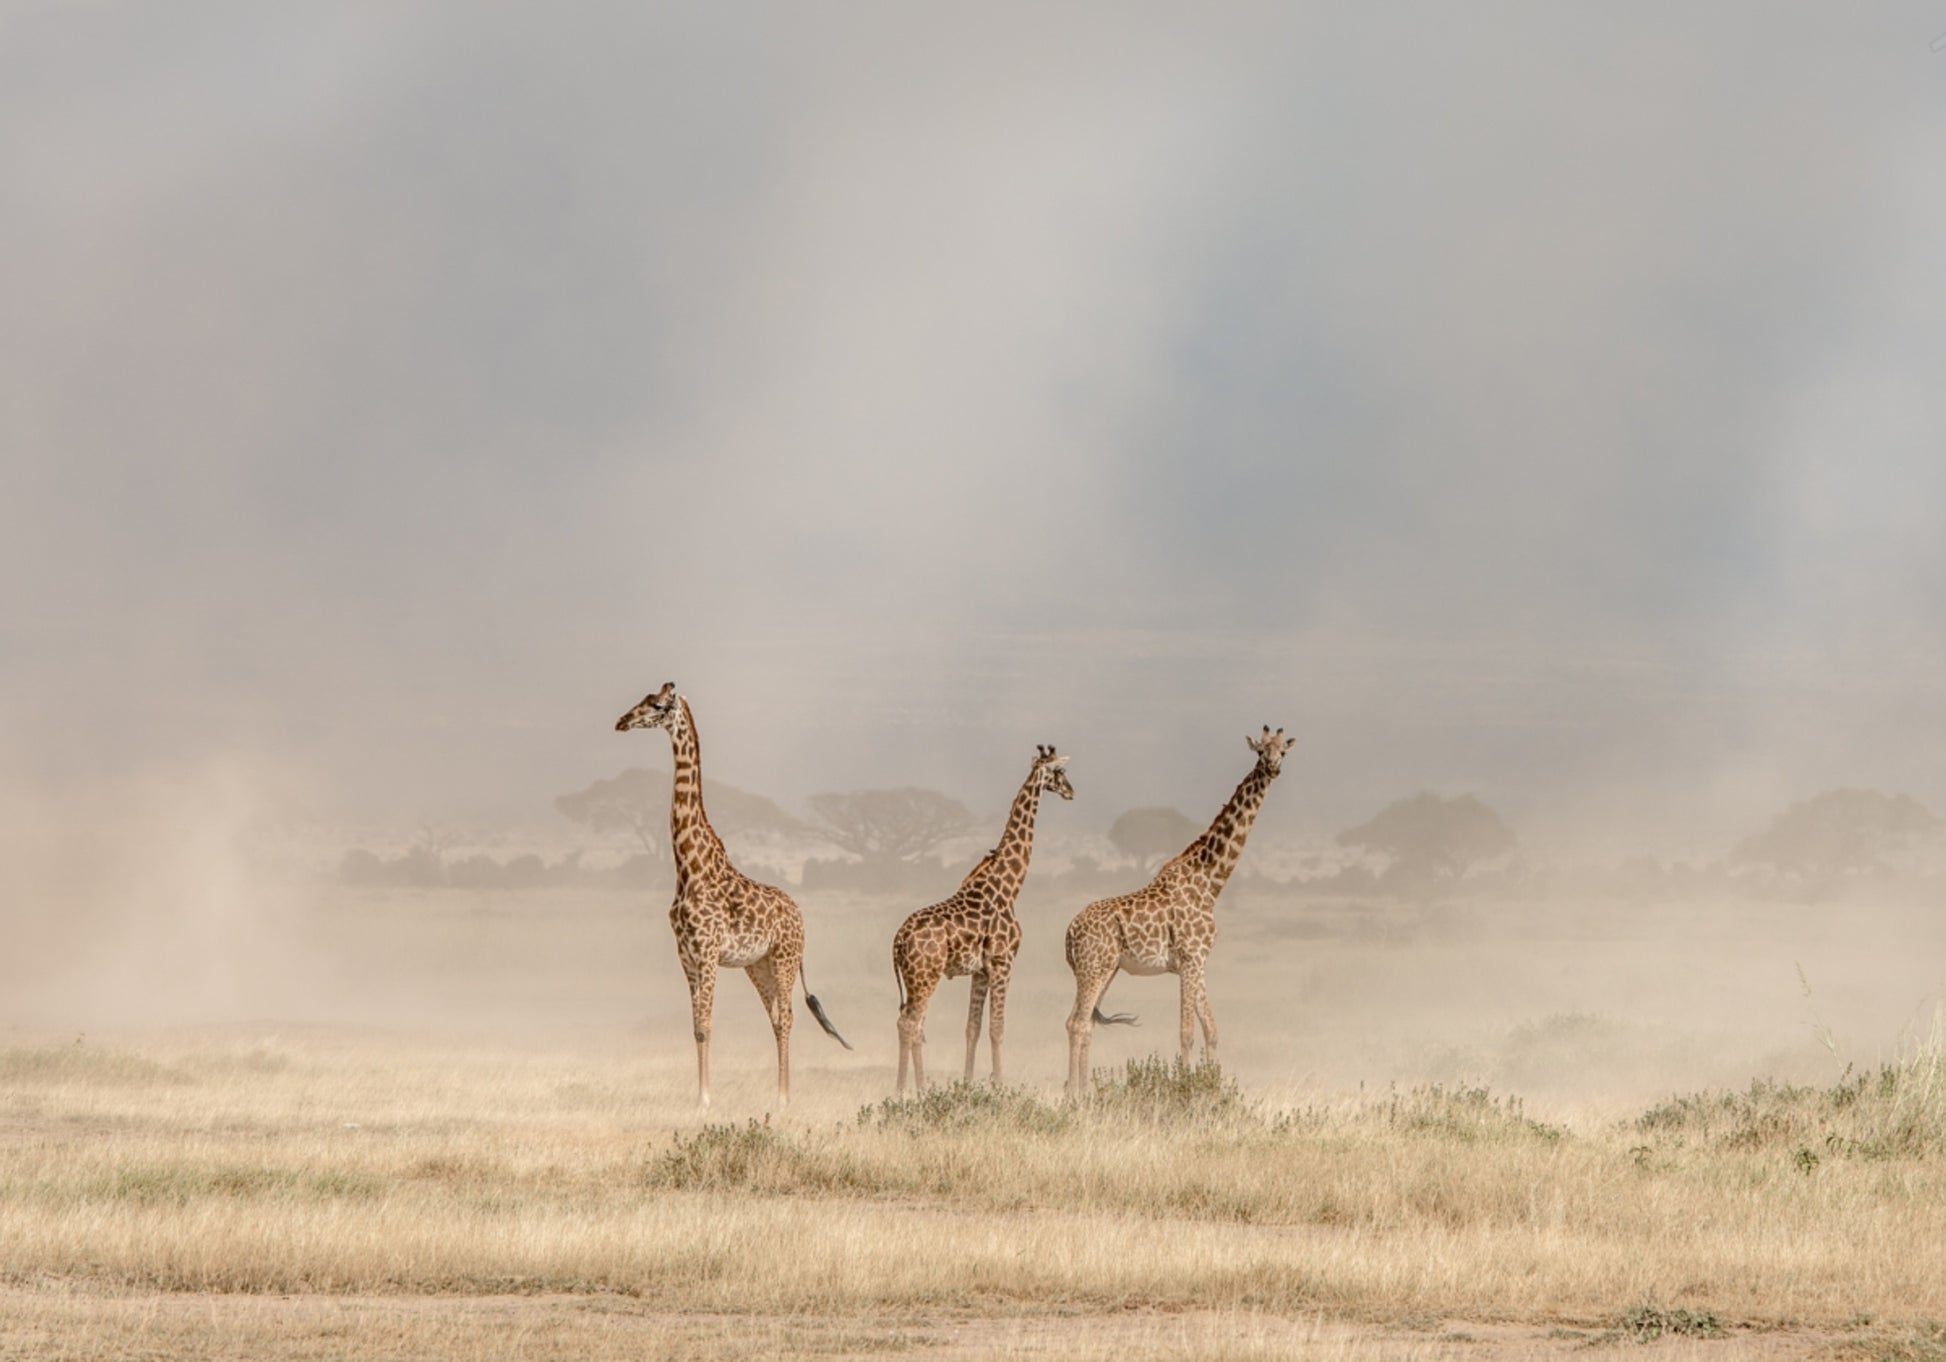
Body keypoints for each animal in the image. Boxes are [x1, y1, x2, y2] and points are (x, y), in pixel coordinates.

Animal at [615, 683, 850, 1108]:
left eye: (656, 705)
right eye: (640, 700)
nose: (621, 721)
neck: (689, 867)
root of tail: (801, 917)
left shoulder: (707, 952)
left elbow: (706, 1024)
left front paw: (705, 1101)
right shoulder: (686, 955)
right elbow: (696, 1026)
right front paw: (700, 1098)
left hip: (784, 959)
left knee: (787, 1017)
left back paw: (783, 1099)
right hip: (757, 966)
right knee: (775, 1019)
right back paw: (777, 1095)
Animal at [891, 745, 1074, 1093]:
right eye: (1059, 772)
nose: (1071, 791)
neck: (1008, 885)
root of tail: (897, 941)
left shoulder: (980, 970)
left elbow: (972, 1027)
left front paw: (967, 1084)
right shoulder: (1004, 962)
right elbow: (997, 1027)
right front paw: (999, 1085)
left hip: (913, 978)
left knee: (910, 1023)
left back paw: (906, 1088)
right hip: (926, 976)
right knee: (911, 1023)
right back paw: (914, 1090)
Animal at [1063, 726, 1296, 1097]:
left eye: (1282, 752)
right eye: (1260, 752)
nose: (1273, 768)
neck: (1210, 883)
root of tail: (1069, 933)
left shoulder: (1197, 962)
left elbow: (1211, 1029)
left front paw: (1214, 1086)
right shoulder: (1190, 958)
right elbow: (1186, 1033)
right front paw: (1187, 1088)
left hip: (1104, 969)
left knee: (1083, 1024)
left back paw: (1084, 1092)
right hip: (1093, 968)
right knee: (1077, 1023)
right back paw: (1076, 1095)